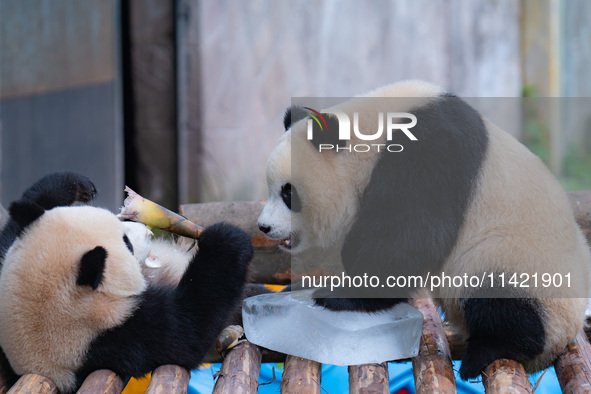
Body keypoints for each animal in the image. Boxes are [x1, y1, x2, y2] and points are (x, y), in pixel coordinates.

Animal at [0, 172, 252, 394]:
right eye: (127, 243)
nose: (147, 231)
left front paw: (73, 184)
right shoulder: (117, 337)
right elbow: (188, 330)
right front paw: (224, 238)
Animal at [258, 80, 591, 378]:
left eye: (288, 193)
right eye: (271, 188)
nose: (264, 227)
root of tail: (567, 334)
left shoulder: (430, 155)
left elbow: (406, 239)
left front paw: (339, 296)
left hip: (521, 261)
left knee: (498, 295)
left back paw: (488, 353)